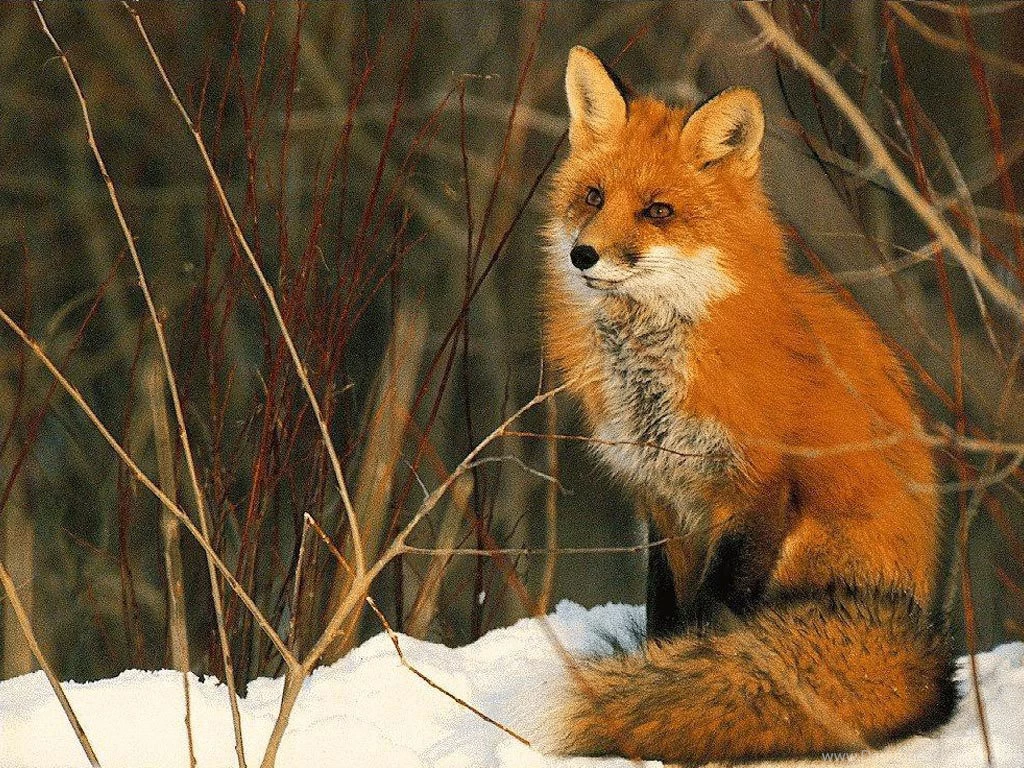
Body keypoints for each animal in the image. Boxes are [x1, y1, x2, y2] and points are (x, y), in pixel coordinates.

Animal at [540, 46, 958, 763]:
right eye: (593, 197)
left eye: (658, 211)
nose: (582, 254)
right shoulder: (665, 501)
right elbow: (669, 619)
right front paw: (659, 680)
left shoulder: (755, 491)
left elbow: (711, 621)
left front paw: (673, 693)